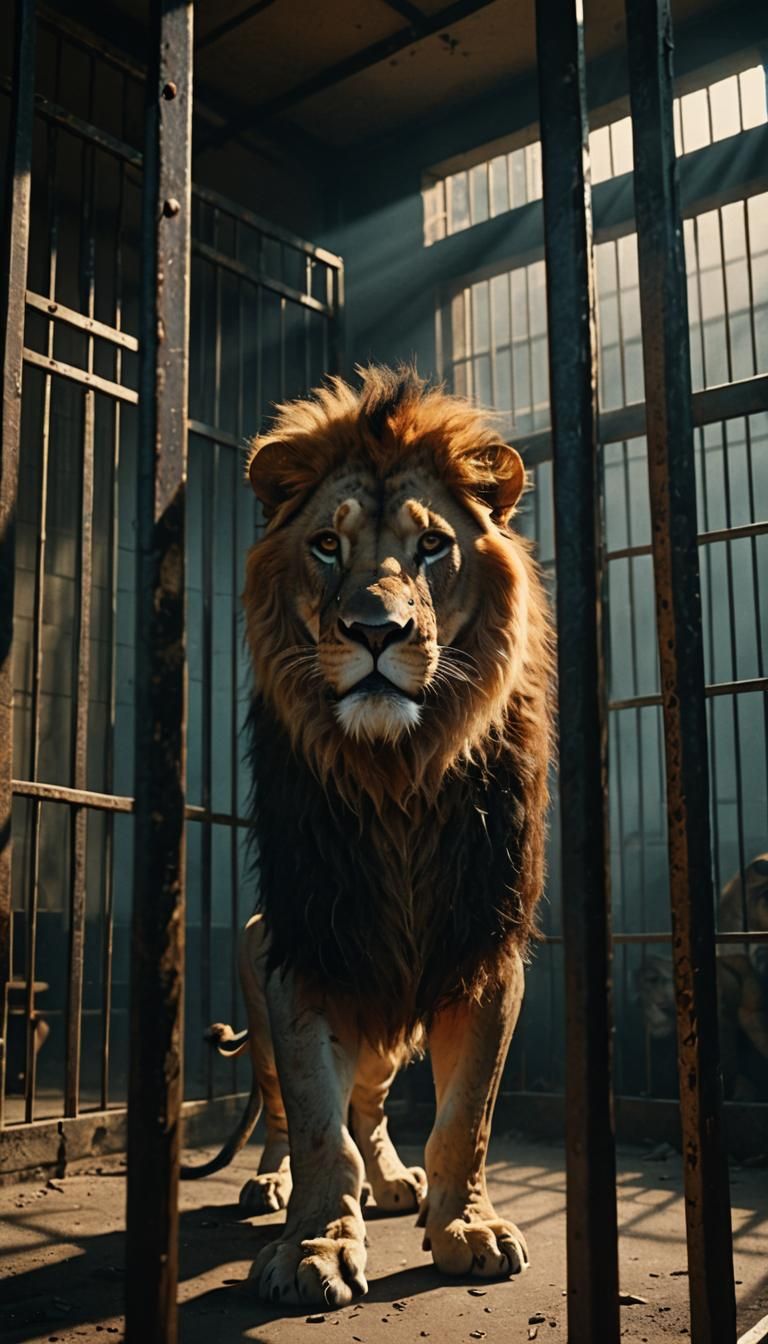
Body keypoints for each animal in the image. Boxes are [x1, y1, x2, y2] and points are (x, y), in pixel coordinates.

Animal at [182, 366, 553, 1307]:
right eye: (325, 545)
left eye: (432, 547)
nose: (377, 632)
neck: (397, 779)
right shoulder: (310, 951)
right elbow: (320, 1126)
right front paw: (315, 1245)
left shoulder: (484, 950)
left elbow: (467, 1117)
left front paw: (468, 1226)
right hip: (262, 968)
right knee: (285, 1111)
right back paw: (270, 1184)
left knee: (375, 1106)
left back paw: (391, 1182)